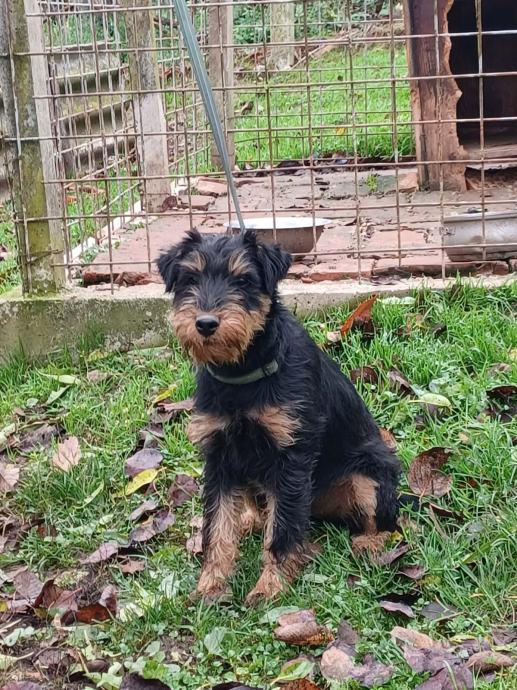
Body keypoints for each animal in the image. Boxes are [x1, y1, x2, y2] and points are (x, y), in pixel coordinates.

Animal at [157, 228, 400, 605]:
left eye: (243, 280)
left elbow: (283, 530)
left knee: (385, 521)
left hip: (369, 473)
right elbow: (218, 527)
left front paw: (270, 588)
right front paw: (210, 586)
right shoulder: (219, 458)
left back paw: (369, 544)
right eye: (190, 278)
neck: (243, 371)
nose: (206, 323)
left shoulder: (290, 458)